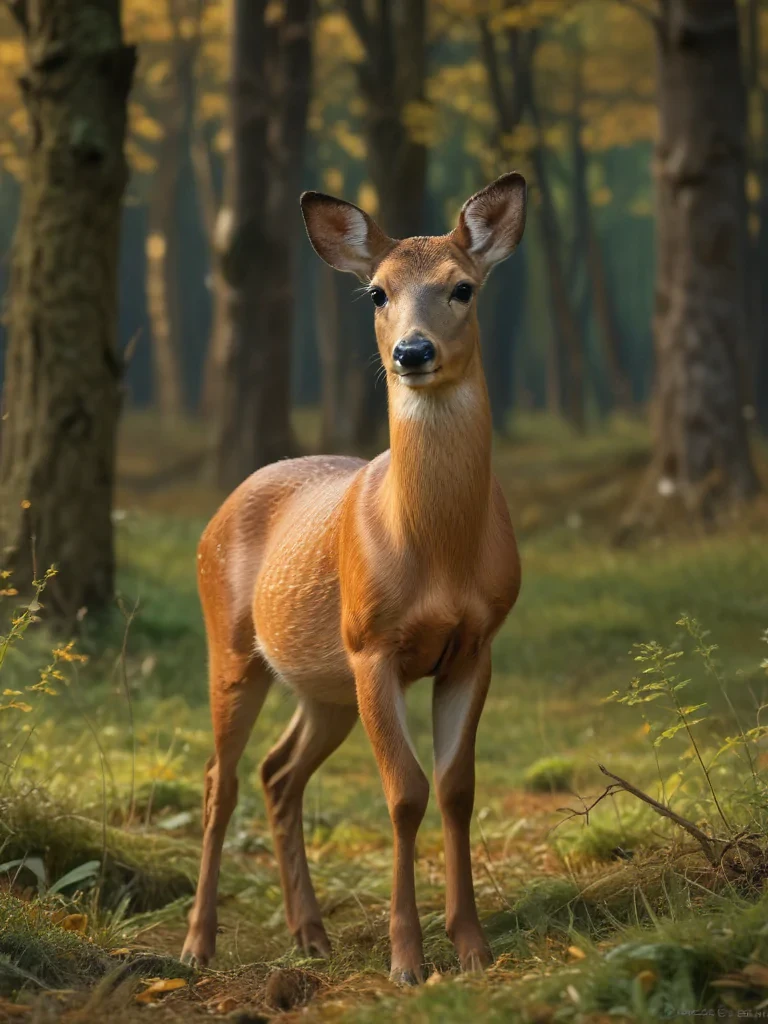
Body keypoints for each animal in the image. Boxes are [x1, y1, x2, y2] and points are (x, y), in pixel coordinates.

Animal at [180, 172, 526, 984]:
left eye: (463, 287)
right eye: (376, 292)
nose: (412, 350)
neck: (438, 554)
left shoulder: (477, 644)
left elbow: (457, 788)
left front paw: (472, 945)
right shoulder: (374, 645)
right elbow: (404, 793)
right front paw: (407, 959)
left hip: (323, 682)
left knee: (278, 772)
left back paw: (310, 933)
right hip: (232, 644)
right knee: (219, 779)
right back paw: (198, 943)